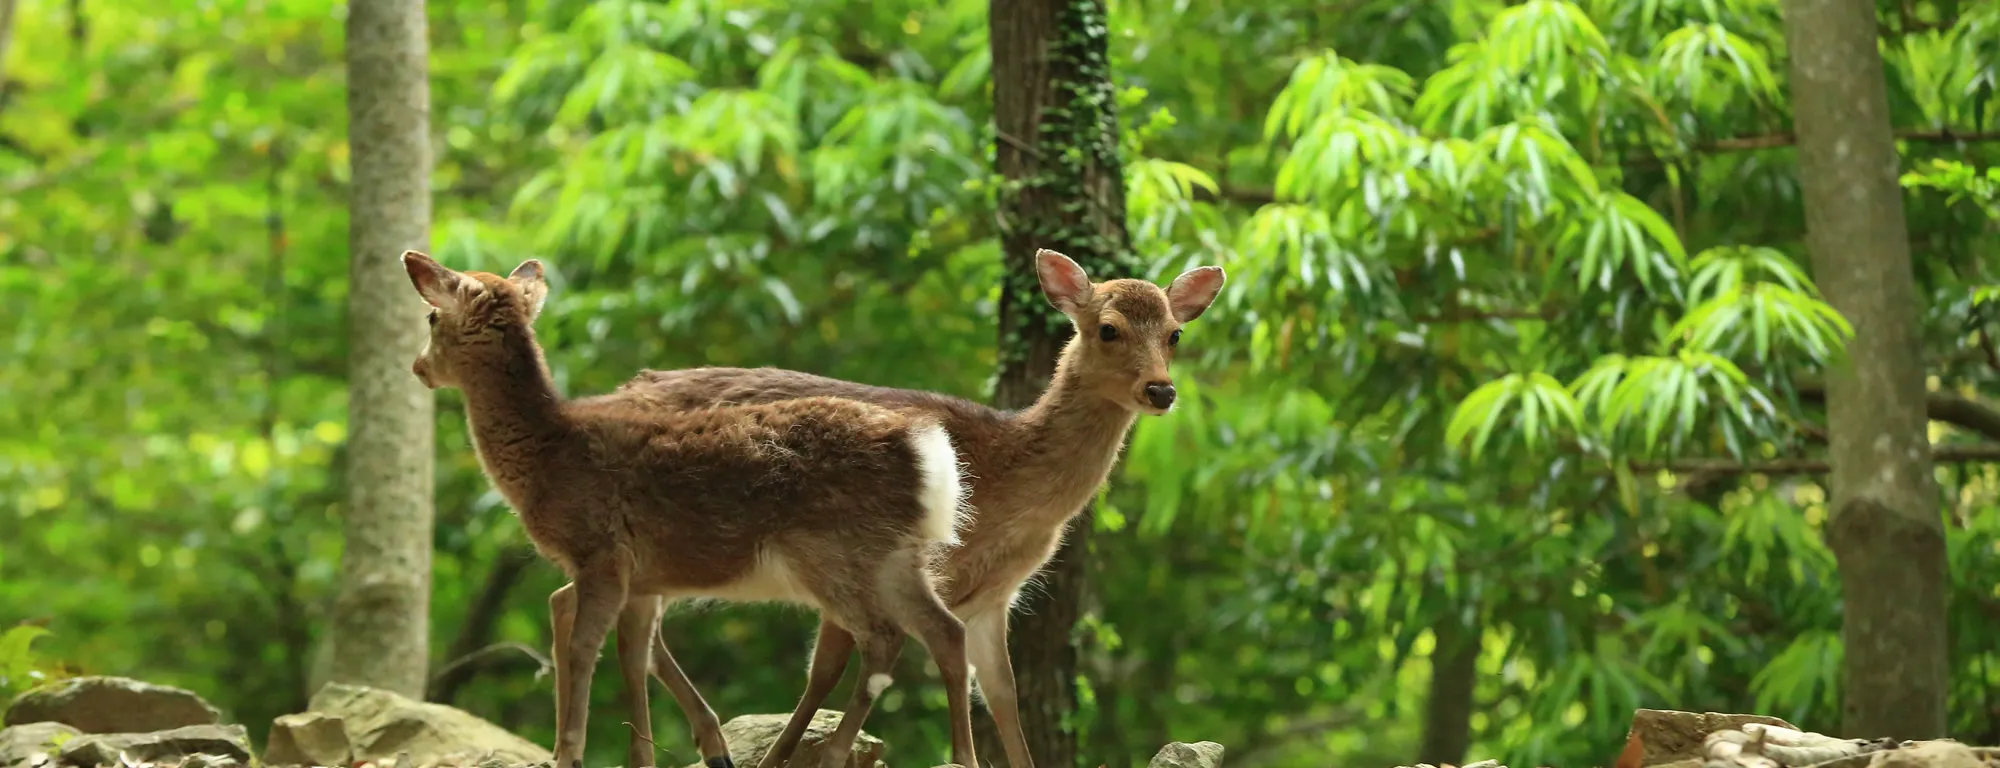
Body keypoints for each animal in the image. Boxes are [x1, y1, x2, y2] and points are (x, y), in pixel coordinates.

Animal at [392, 250, 976, 768]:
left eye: (431, 315)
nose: (418, 367)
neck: (547, 453)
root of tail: (929, 454)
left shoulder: (601, 553)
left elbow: (585, 649)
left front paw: (571, 753)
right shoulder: (639, 576)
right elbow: (632, 656)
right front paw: (650, 757)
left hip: (833, 550)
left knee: (883, 638)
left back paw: (834, 755)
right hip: (897, 556)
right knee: (946, 630)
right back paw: (962, 757)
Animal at [608, 250, 1216, 768]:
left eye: (1175, 333)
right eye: (1108, 328)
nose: (1161, 390)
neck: (1005, 486)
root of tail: (620, 389)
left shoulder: (993, 596)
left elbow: (1003, 693)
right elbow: (826, 671)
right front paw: (787, 755)